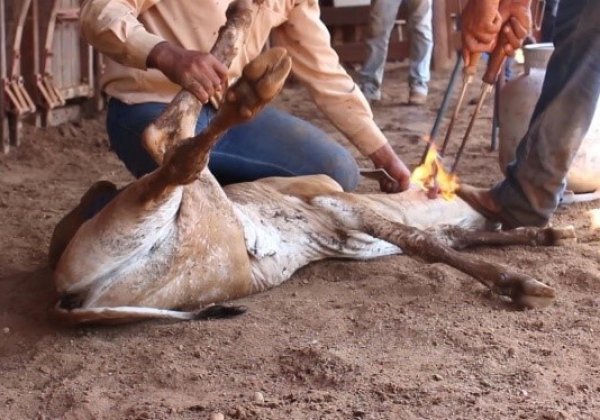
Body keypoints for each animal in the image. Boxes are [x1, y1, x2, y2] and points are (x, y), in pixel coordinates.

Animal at [45, 0, 568, 324]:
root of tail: (68, 300)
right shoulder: (331, 201)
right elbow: (425, 242)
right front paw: (524, 282)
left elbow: (453, 239)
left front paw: (544, 238)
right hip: (190, 191)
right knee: (165, 137)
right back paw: (252, 76)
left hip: (202, 261)